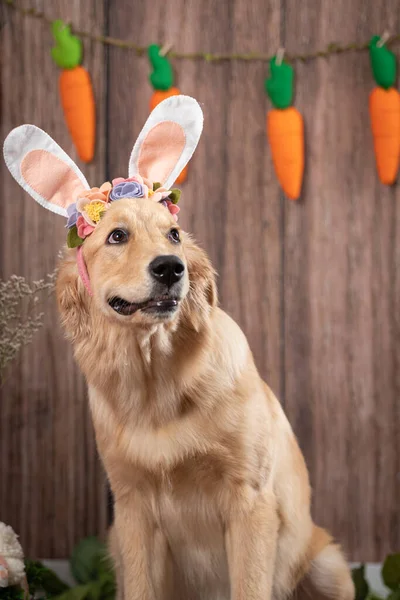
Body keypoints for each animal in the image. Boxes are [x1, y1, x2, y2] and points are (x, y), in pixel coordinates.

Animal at [3, 96, 354, 596]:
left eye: (172, 234)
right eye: (117, 235)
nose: (171, 267)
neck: (157, 378)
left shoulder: (250, 499)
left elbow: (250, 584)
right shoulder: (132, 507)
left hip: (327, 564)